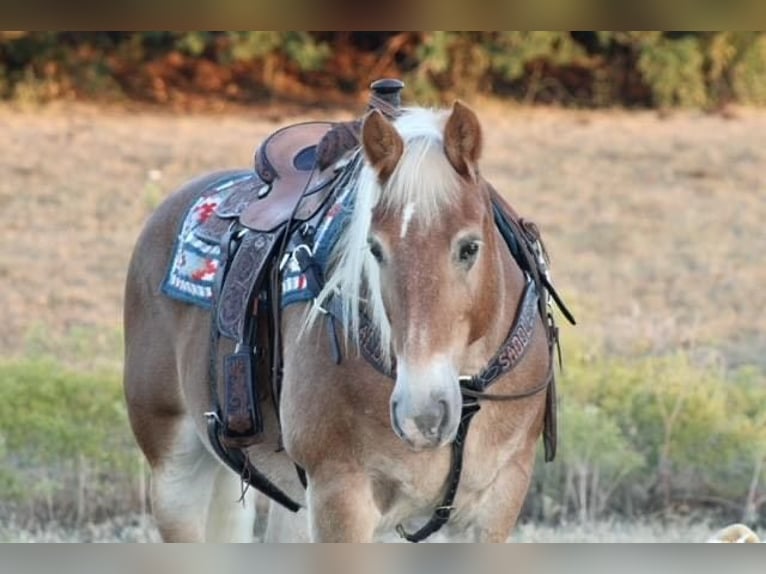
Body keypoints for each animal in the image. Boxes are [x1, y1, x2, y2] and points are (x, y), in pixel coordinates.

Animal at [124, 99, 568, 544]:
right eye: (374, 248)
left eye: (470, 247)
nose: (422, 413)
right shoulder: (341, 495)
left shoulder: (499, 499)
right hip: (176, 474)